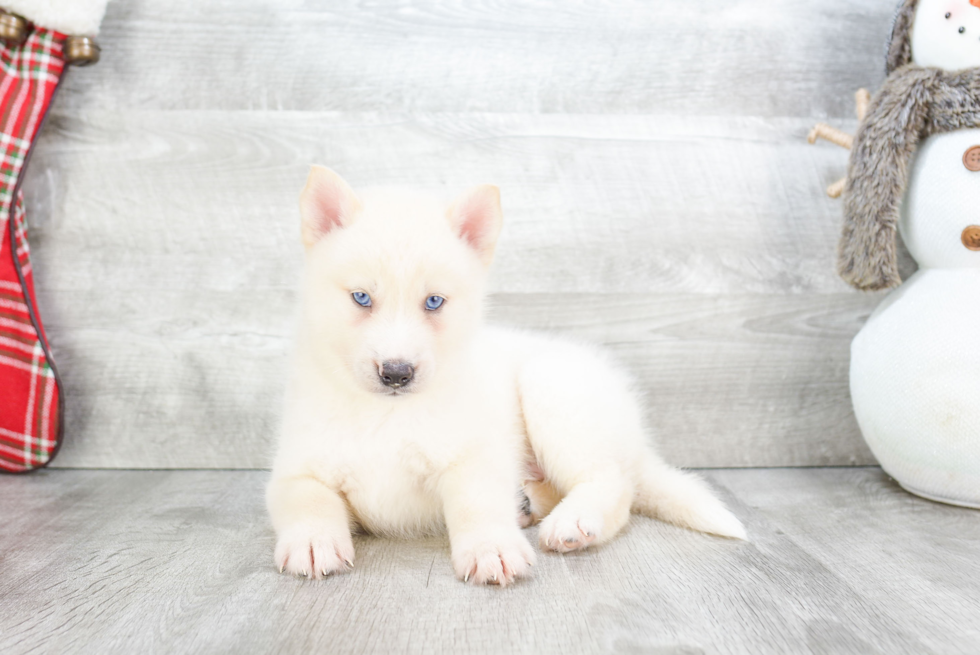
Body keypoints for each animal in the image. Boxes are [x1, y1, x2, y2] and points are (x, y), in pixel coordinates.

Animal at [268, 167, 744, 588]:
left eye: (434, 301)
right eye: (361, 297)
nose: (397, 373)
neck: (386, 415)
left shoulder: (471, 456)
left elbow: (478, 503)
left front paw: (490, 548)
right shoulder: (293, 471)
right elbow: (307, 499)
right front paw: (313, 541)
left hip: (552, 387)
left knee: (613, 483)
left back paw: (574, 520)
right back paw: (527, 505)